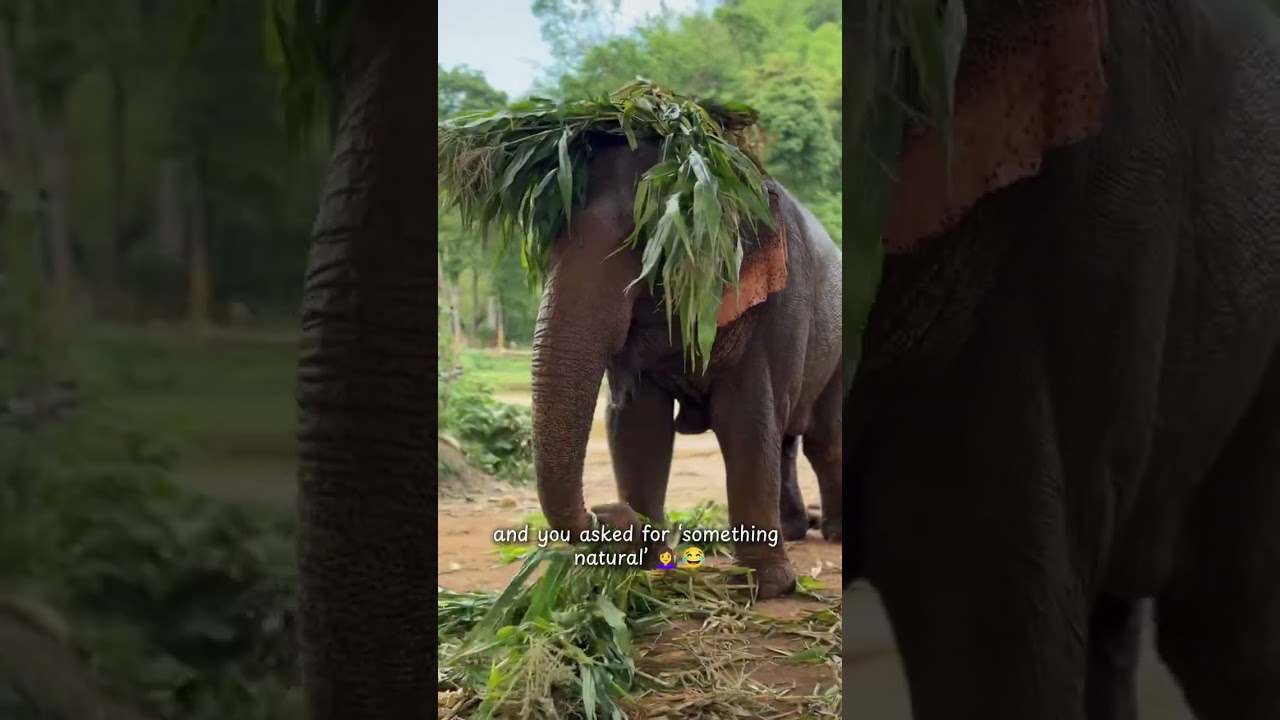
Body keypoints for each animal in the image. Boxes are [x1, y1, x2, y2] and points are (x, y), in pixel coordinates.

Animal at [528, 136, 843, 600]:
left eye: (646, 243)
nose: (608, 511)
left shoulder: (778, 302)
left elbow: (747, 419)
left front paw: (765, 587)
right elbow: (638, 423)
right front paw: (647, 571)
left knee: (823, 439)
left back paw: (834, 534)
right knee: (787, 439)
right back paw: (794, 531)